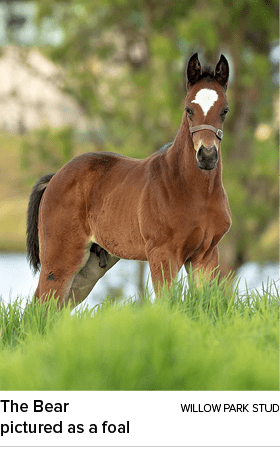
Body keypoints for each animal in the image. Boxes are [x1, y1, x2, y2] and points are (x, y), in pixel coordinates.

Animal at [26, 53, 232, 308]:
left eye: (224, 110)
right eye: (188, 109)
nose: (207, 156)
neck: (192, 189)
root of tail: (55, 177)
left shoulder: (206, 255)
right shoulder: (163, 254)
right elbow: (166, 303)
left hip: (89, 267)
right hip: (61, 257)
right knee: (40, 305)